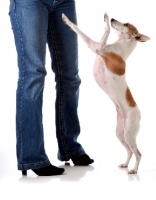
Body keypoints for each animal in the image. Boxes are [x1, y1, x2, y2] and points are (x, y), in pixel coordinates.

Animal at [61, 12, 150, 173]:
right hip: (120, 134)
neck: (123, 45)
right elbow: (84, 30)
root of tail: (139, 114)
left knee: (138, 153)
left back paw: (134, 170)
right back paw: (125, 164)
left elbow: (90, 31)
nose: (114, 18)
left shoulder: (97, 48)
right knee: (129, 151)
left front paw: (106, 19)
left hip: (129, 134)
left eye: (126, 24)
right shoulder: (97, 47)